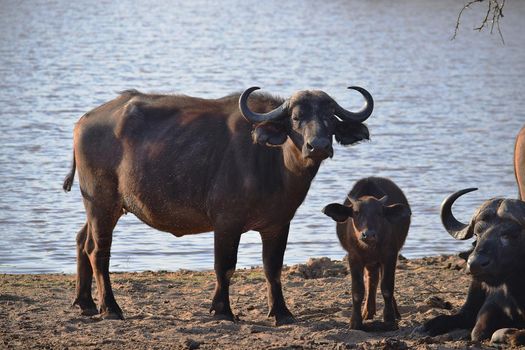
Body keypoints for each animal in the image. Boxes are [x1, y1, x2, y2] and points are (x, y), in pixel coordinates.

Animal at [62, 85, 372, 326]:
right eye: (296, 118)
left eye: (329, 119)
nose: (317, 145)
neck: (274, 163)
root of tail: (83, 122)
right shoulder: (226, 223)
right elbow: (225, 266)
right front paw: (223, 311)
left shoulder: (278, 224)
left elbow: (273, 268)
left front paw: (281, 312)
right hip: (101, 203)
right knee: (98, 251)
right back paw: (111, 308)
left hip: (101, 207)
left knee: (81, 241)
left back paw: (85, 303)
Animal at [322, 178, 412, 330]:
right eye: (356, 212)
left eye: (380, 213)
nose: (368, 234)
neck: (370, 247)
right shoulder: (354, 258)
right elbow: (358, 290)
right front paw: (355, 322)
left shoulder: (390, 256)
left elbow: (387, 287)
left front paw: (389, 319)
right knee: (372, 279)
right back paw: (368, 312)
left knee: (377, 280)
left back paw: (394, 313)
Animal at [420, 189, 525, 344]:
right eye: (477, 234)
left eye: (509, 234)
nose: (474, 263)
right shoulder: (488, 308)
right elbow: (478, 332)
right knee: (464, 315)